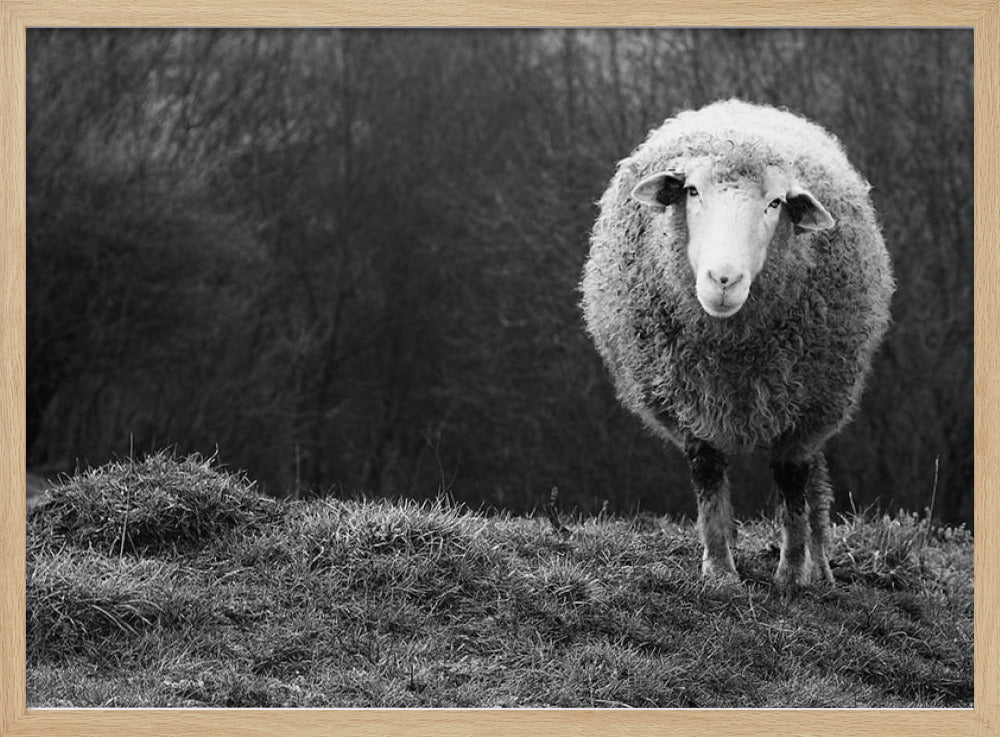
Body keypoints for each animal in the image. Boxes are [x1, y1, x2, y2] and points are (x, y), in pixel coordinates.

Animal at [581, 99, 894, 589]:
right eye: (691, 191)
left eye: (775, 203)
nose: (723, 279)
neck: (733, 353)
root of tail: (741, 106)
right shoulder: (689, 399)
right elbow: (708, 473)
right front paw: (719, 570)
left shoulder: (806, 409)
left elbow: (792, 482)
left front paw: (792, 573)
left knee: (814, 484)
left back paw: (820, 568)